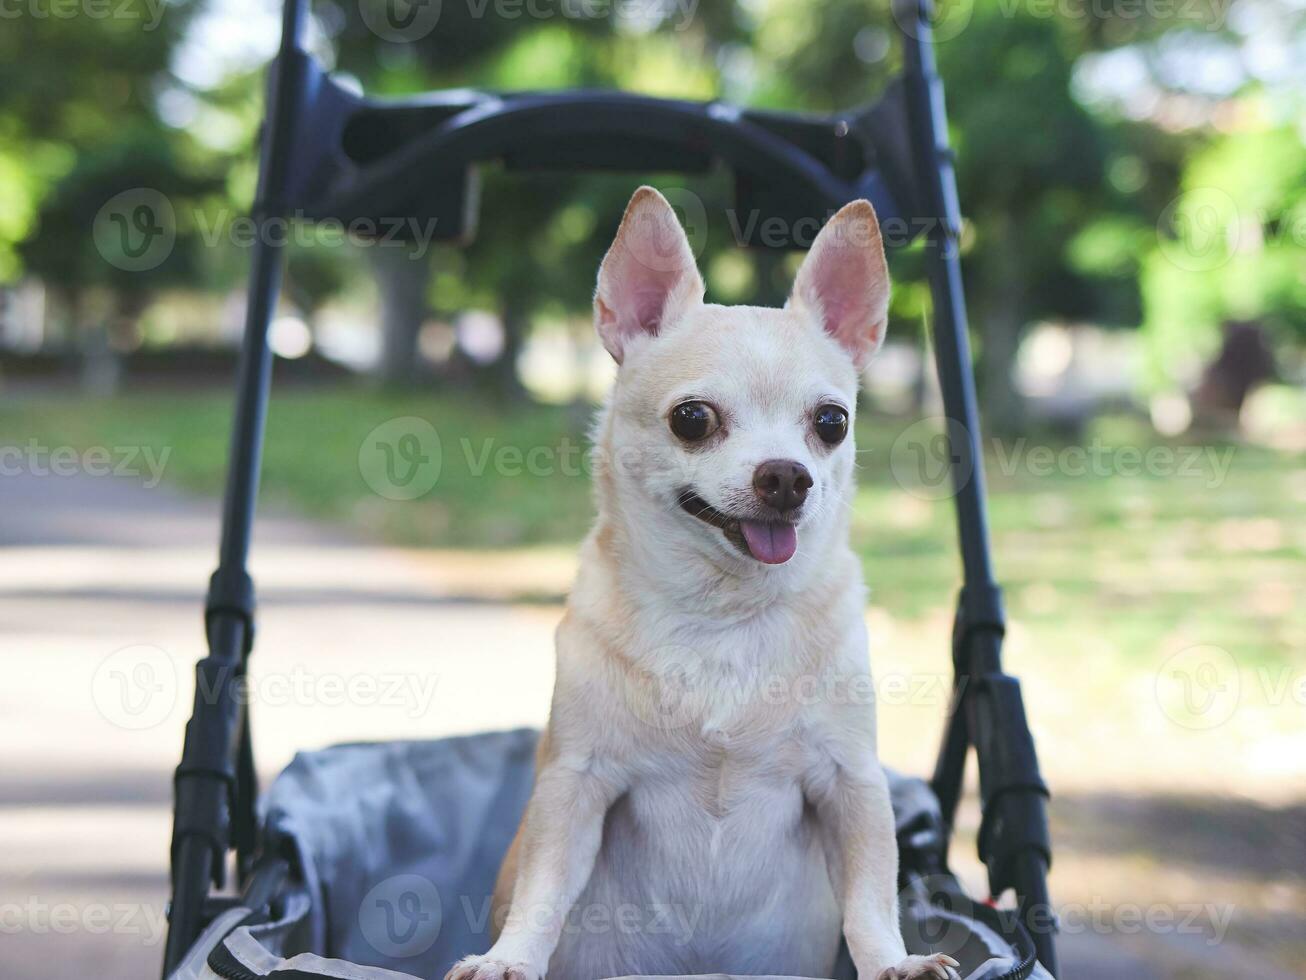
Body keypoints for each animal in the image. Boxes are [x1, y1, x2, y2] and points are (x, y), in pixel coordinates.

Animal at [449, 188, 961, 980]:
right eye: (692, 419)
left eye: (832, 422)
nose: (787, 475)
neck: (724, 611)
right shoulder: (573, 784)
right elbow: (543, 888)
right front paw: (510, 958)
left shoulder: (854, 784)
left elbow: (872, 898)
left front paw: (892, 964)